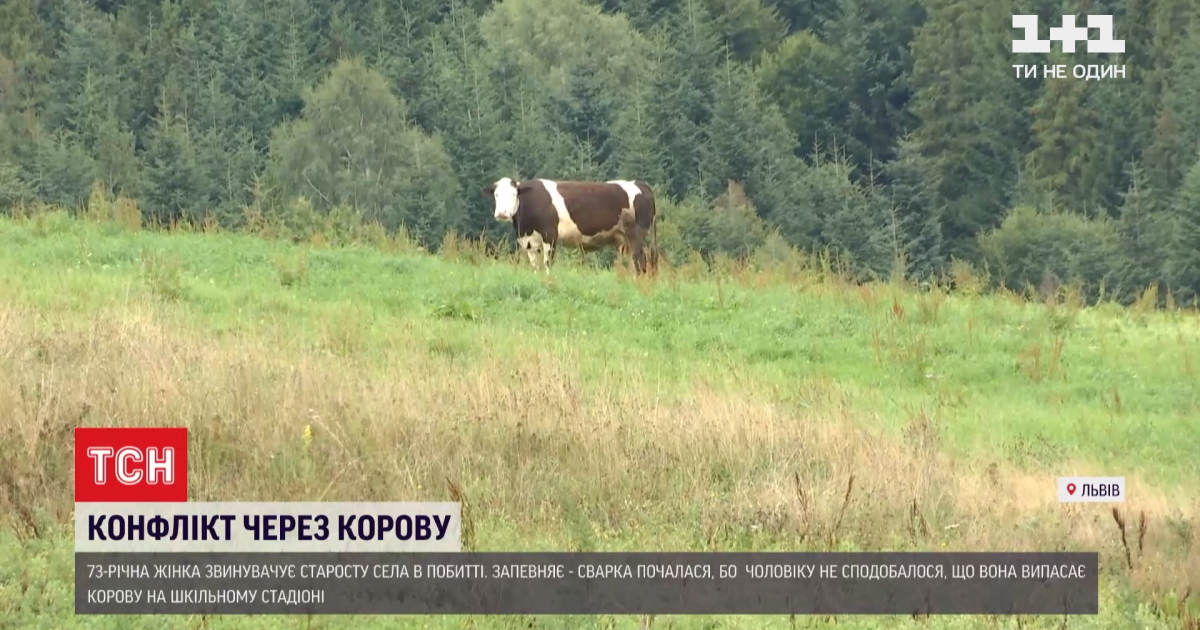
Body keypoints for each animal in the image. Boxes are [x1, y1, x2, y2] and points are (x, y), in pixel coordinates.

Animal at [482, 177, 659, 275]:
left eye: (514, 194)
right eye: (496, 195)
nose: (502, 213)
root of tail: (640, 184)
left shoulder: (550, 235)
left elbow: (547, 262)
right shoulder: (528, 241)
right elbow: (535, 264)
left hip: (637, 234)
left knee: (640, 260)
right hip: (625, 239)